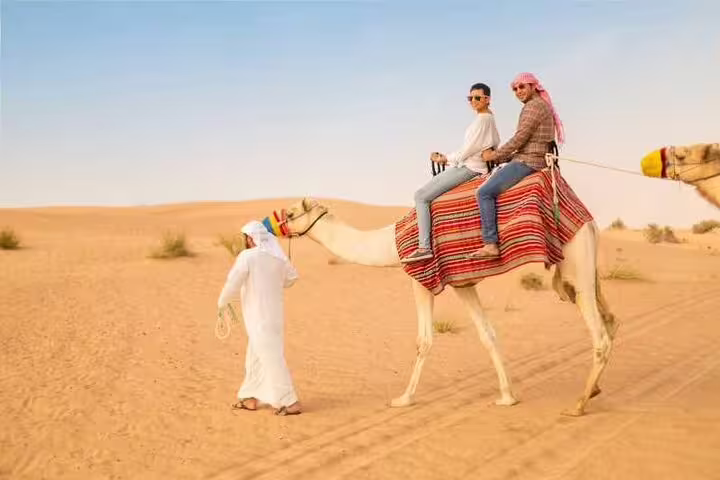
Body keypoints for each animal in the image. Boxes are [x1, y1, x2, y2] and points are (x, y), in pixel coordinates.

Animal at [280, 197, 617, 416]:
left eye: (291, 211)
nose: (276, 224)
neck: (391, 244)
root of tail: (590, 222)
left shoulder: (420, 279)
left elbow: (424, 340)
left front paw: (403, 398)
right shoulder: (462, 283)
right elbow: (488, 335)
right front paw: (507, 396)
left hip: (576, 265)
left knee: (599, 334)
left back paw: (579, 404)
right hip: (586, 268)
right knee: (611, 320)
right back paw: (595, 389)